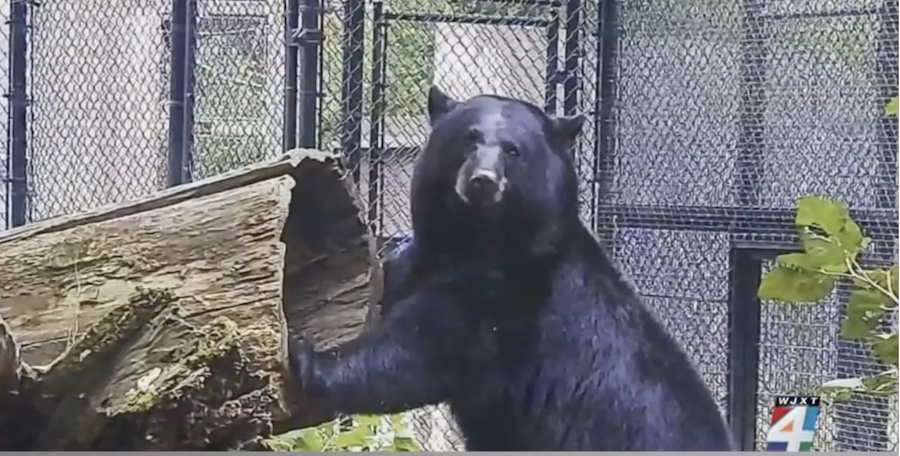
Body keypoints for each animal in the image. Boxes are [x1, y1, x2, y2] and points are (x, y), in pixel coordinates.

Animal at [287, 86, 736, 451]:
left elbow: (418, 352)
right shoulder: (425, 262)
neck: (481, 241)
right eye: (468, 139)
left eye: (513, 150)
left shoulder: (511, 302)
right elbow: (394, 282)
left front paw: (306, 354)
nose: (482, 181)